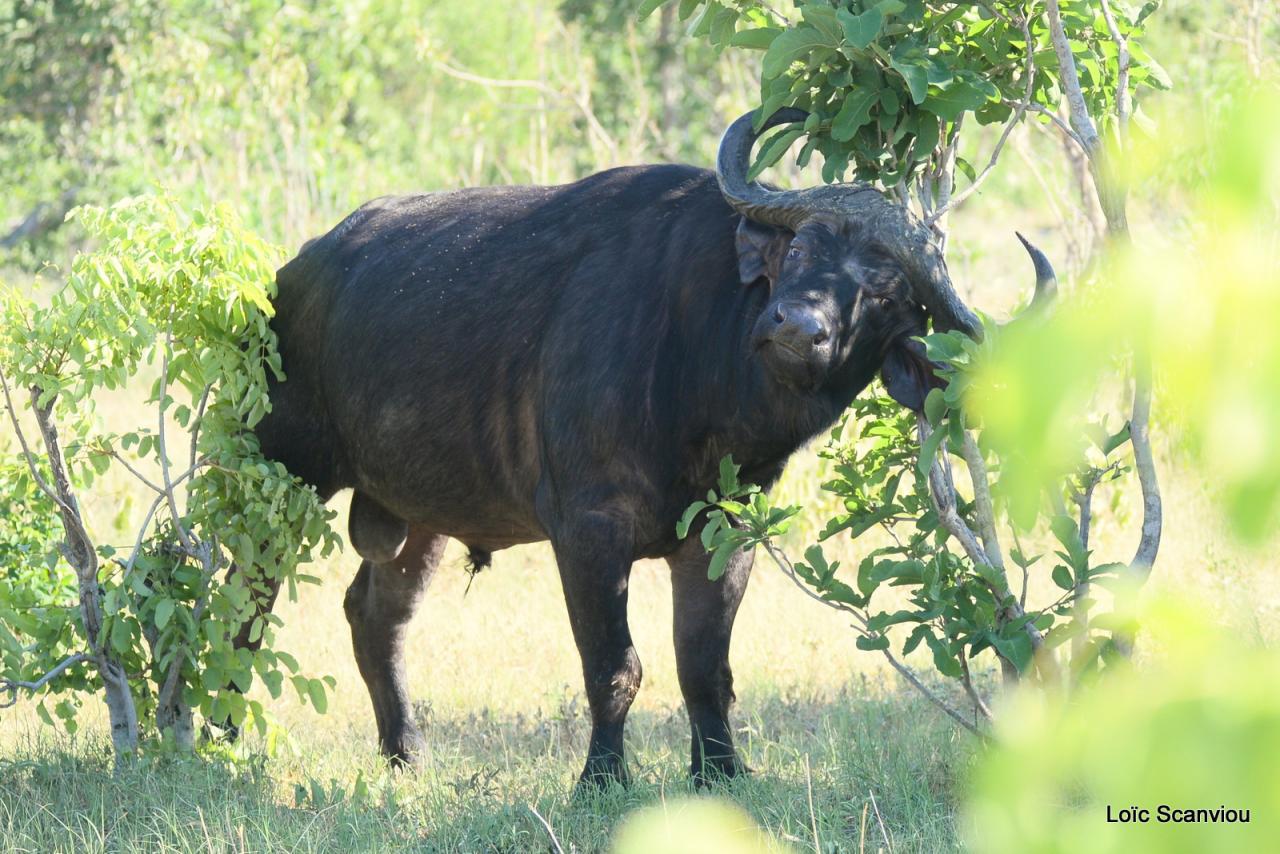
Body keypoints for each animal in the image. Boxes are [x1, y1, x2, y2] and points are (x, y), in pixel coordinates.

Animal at [249, 108, 1049, 788]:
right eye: (802, 248)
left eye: (885, 294)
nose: (797, 327)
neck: (703, 390)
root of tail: (297, 271)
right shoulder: (588, 532)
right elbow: (615, 668)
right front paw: (601, 780)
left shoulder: (724, 535)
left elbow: (704, 667)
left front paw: (721, 772)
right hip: (281, 474)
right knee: (246, 601)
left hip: (419, 517)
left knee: (375, 614)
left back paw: (405, 753)